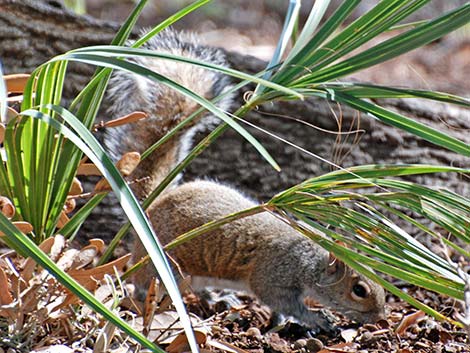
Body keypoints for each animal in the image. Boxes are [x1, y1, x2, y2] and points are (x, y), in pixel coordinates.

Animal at [105, 28, 386, 332]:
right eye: (359, 289)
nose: (380, 316)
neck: (308, 261)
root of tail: (149, 207)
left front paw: (283, 321)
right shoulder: (273, 273)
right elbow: (282, 301)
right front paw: (318, 319)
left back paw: (217, 297)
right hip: (162, 264)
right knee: (144, 285)